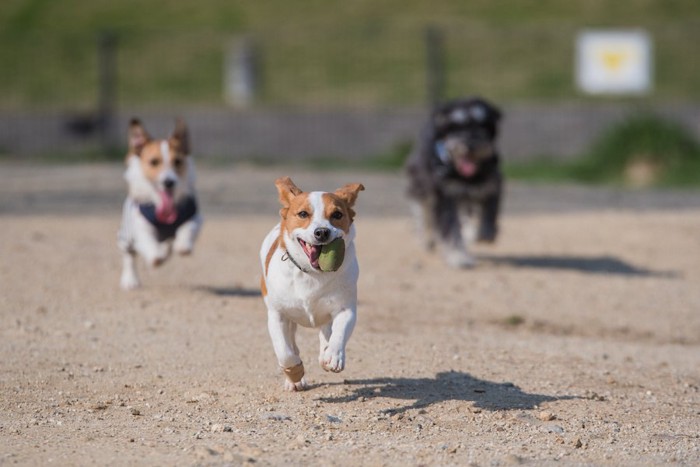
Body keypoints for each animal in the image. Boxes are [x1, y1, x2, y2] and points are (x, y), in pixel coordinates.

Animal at [117, 118, 202, 288]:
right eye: (154, 162)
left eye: (177, 161)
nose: (168, 182)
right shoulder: (140, 226)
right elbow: (147, 241)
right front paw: (155, 256)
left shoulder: (194, 216)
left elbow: (187, 228)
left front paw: (183, 245)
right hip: (126, 235)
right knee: (129, 255)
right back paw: (130, 279)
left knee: (167, 244)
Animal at [260, 177, 364, 394]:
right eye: (303, 214)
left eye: (337, 214)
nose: (322, 232)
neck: (313, 274)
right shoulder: (277, 315)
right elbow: (285, 351)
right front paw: (294, 373)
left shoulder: (346, 309)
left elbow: (339, 332)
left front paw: (333, 356)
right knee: (292, 343)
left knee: (326, 329)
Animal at [404, 97, 504, 268]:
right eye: (455, 127)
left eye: (482, 124)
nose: (470, 145)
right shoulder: (445, 196)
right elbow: (450, 227)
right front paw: (458, 256)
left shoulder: (491, 183)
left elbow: (490, 209)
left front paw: (485, 232)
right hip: (419, 185)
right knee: (423, 213)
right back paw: (427, 238)